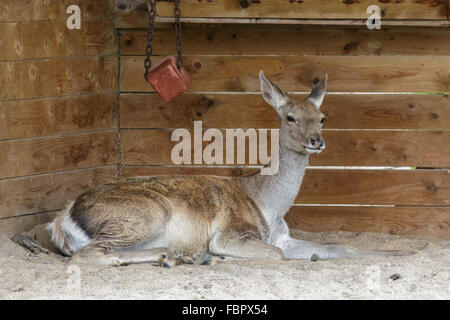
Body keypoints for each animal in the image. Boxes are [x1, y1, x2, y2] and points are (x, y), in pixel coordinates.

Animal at [20, 71, 414, 266]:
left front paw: (404, 253)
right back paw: (178, 255)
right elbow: (275, 255)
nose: (317, 140)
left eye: (322, 116)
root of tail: (61, 220)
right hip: (144, 214)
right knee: (87, 255)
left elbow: (338, 246)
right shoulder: (230, 233)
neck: (268, 207)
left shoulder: (283, 236)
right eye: (290, 117)